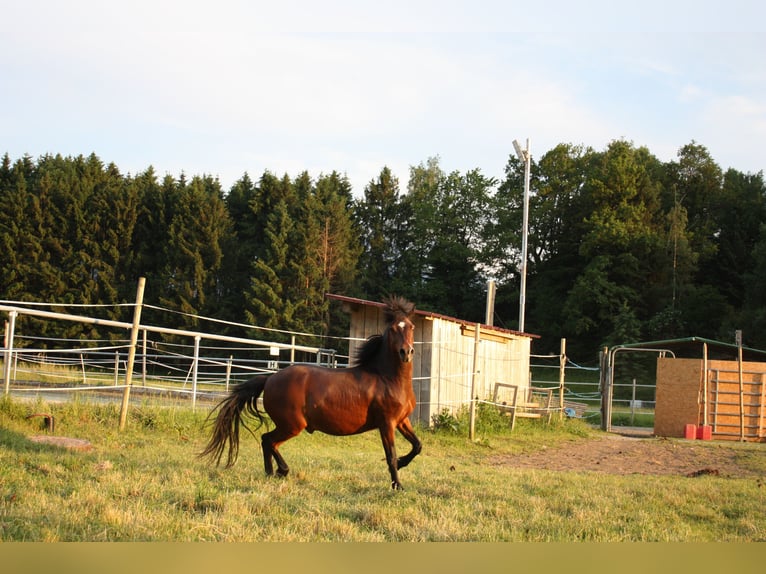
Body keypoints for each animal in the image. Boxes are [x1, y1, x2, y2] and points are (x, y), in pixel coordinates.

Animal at [200, 296, 422, 490]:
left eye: (411, 326)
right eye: (393, 329)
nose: (406, 353)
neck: (386, 378)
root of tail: (270, 378)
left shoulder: (402, 420)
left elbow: (417, 446)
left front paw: (402, 463)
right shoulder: (386, 423)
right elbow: (390, 455)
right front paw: (397, 485)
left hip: (289, 425)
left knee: (267, 441)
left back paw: (270, 473)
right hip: (292, 425)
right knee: (268, 440)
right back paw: (281, 470)